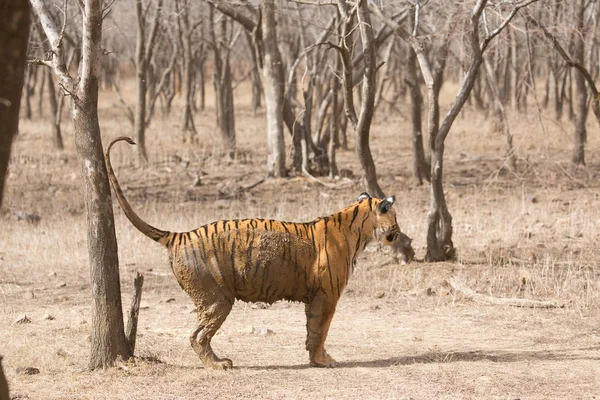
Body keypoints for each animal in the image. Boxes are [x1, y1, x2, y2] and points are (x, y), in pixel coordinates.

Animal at [105, 137, 400, 368]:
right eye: (396, 218)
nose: (399, 233)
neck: (359, 227)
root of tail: (179, 235)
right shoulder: (326, 296)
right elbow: (321, 329)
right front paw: (322, 360)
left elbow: (313, 331)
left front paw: (318, 357)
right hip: (217, 299)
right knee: (197, 335)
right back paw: (219, 364)